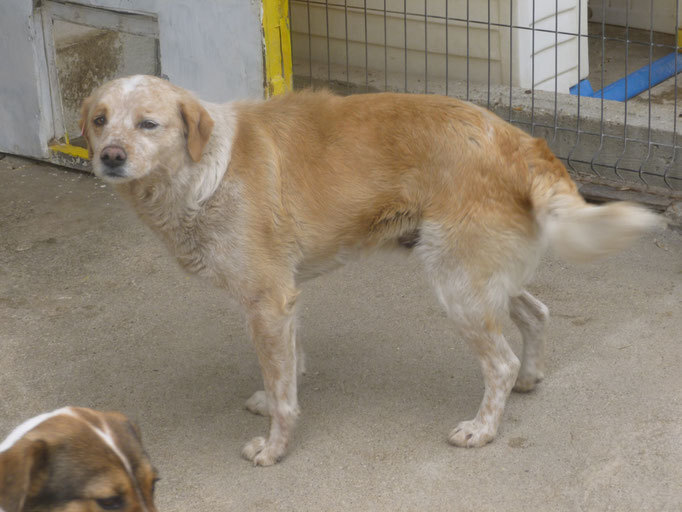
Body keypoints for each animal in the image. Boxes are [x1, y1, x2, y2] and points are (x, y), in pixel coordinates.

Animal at [79, 75, 660, 466]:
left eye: (148, 123)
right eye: (99, 120)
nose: (109, 156)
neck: (206, 170)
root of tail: (520, 141)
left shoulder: (268, 300)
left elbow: (285, 394)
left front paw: (274, 447)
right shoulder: (285, 299)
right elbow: (289, 369)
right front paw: (273, 397)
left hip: (457, 285)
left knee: (500, 363)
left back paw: (483, 428)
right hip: (479, 274)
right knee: (537, 314)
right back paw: (531, 378)